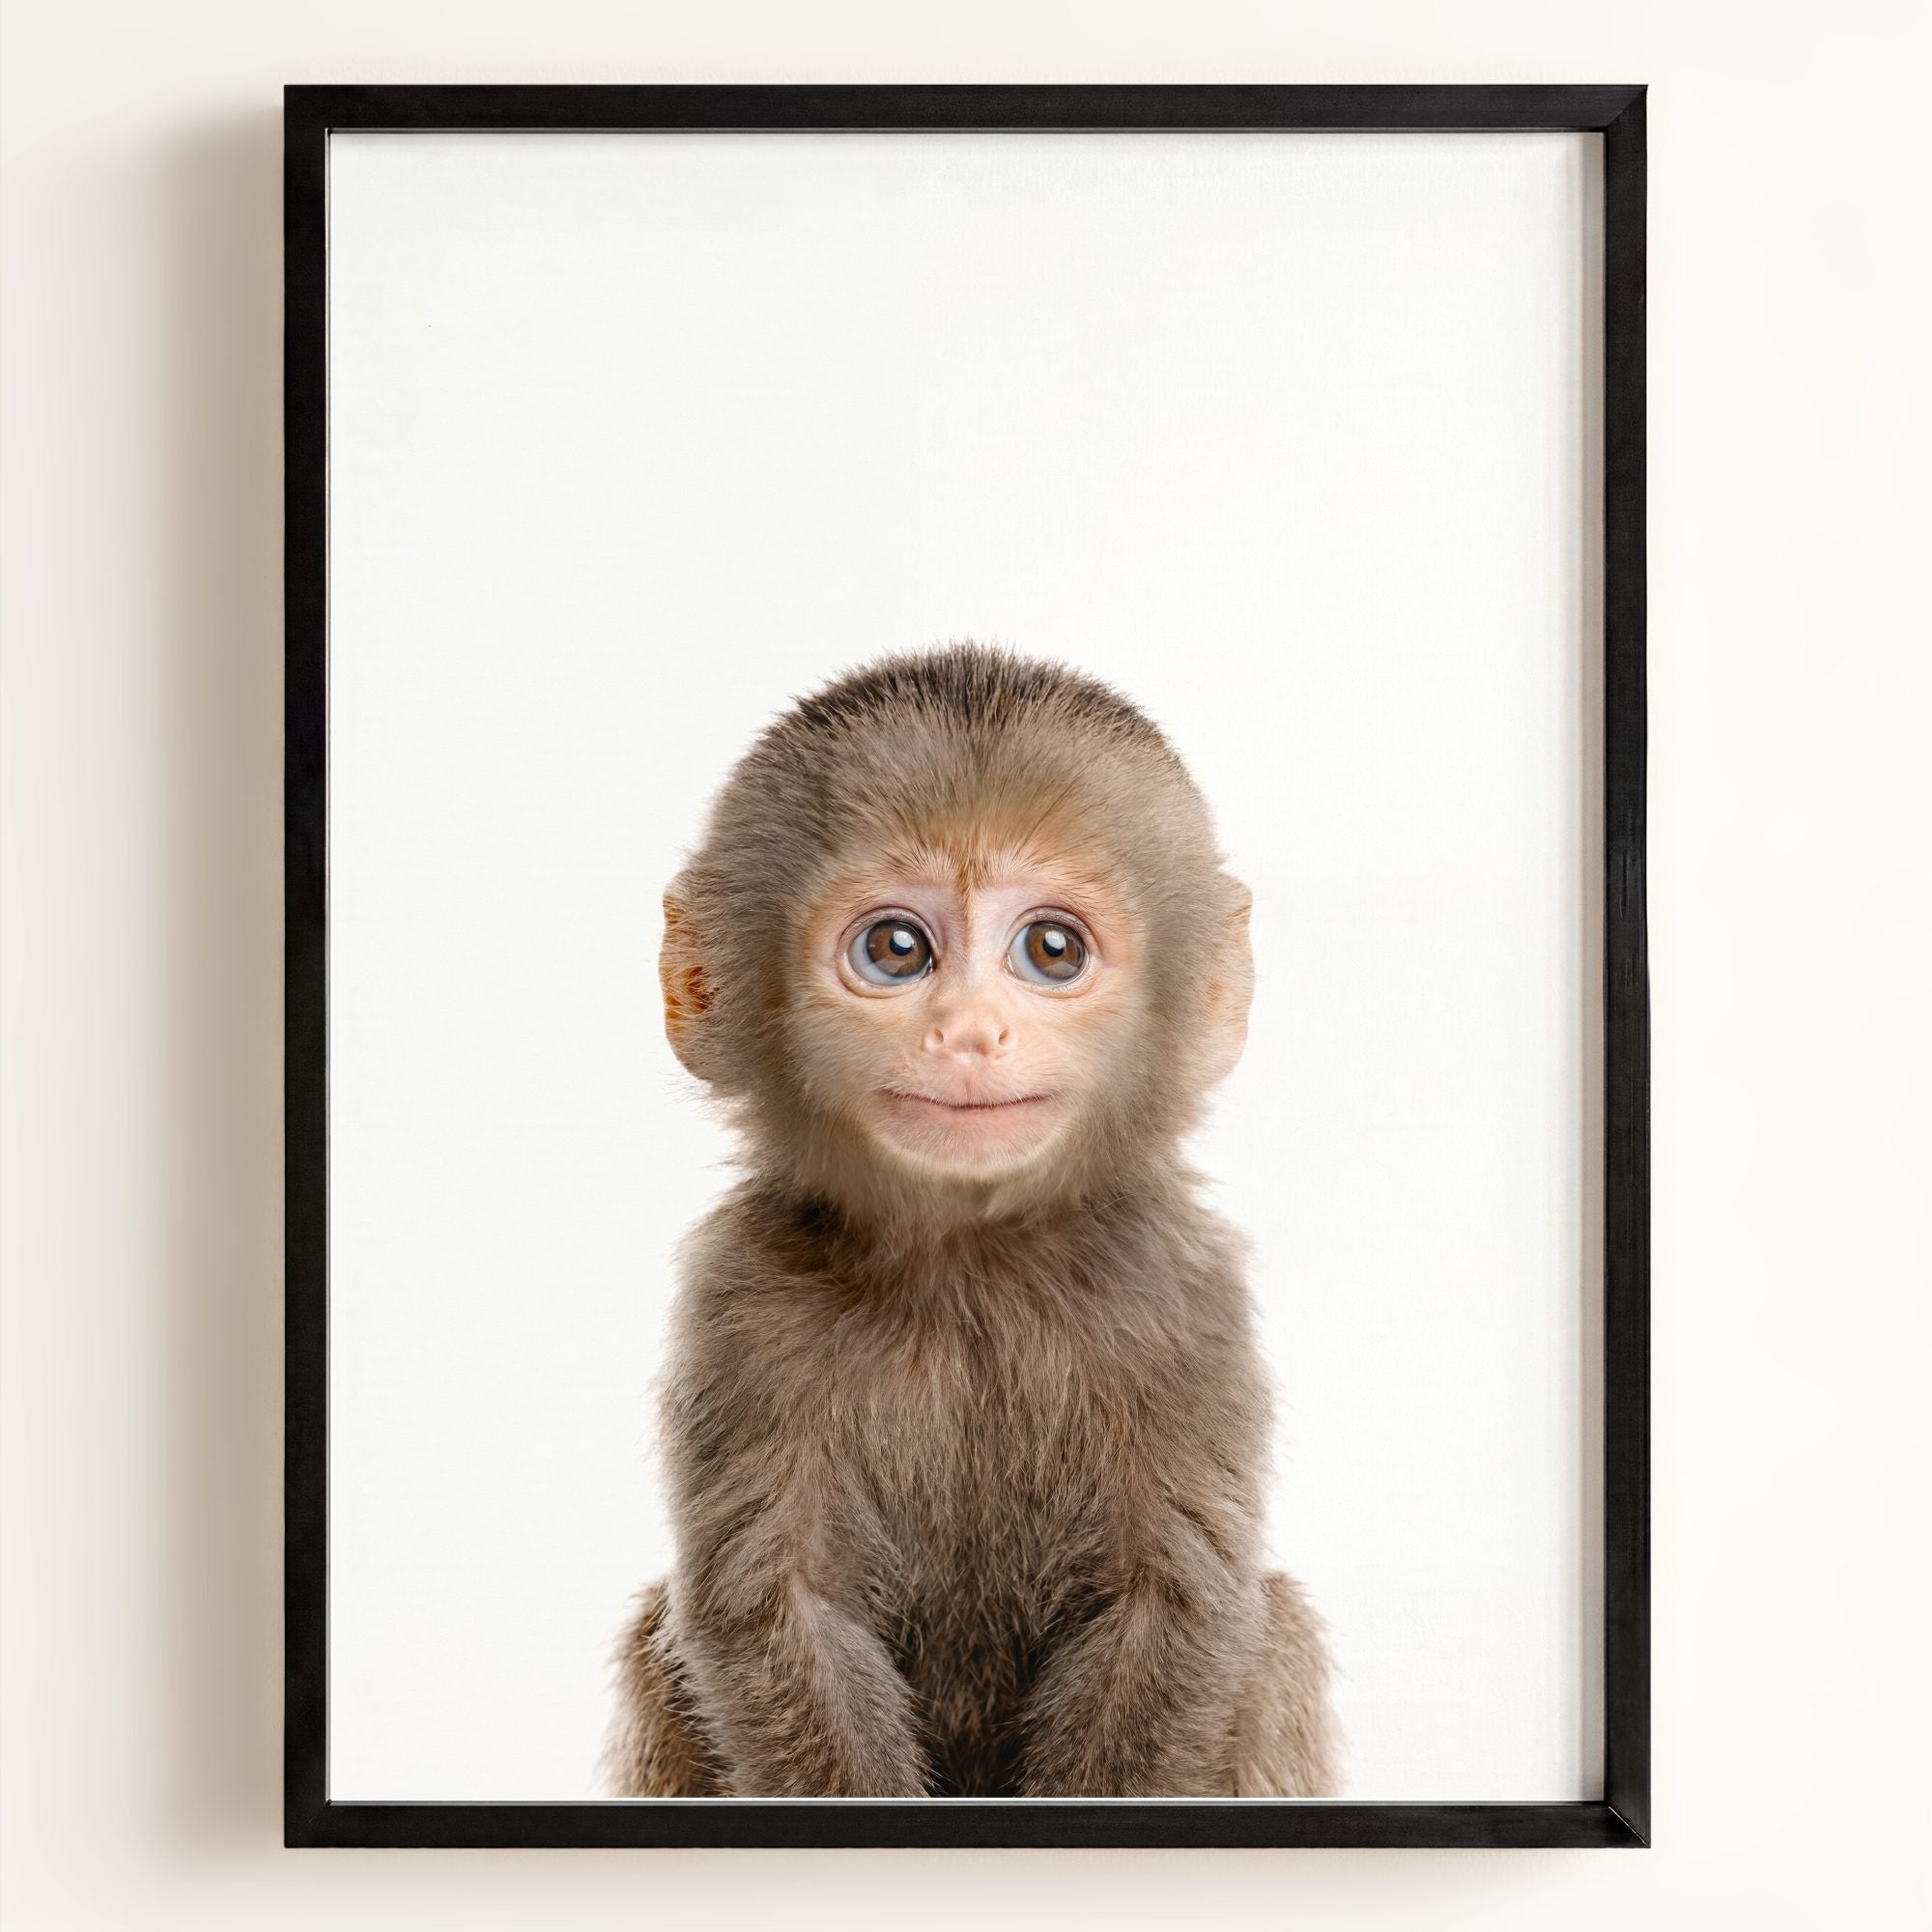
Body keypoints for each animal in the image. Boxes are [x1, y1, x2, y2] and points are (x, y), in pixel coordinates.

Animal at [603, 644, 1338, 1798]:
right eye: (898, 948)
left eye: (1052, 950)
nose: (970, 1032)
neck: (969, 1263)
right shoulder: (739, 1296)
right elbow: (778, 1610)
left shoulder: (1184, 1294)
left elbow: (1172, 1605)